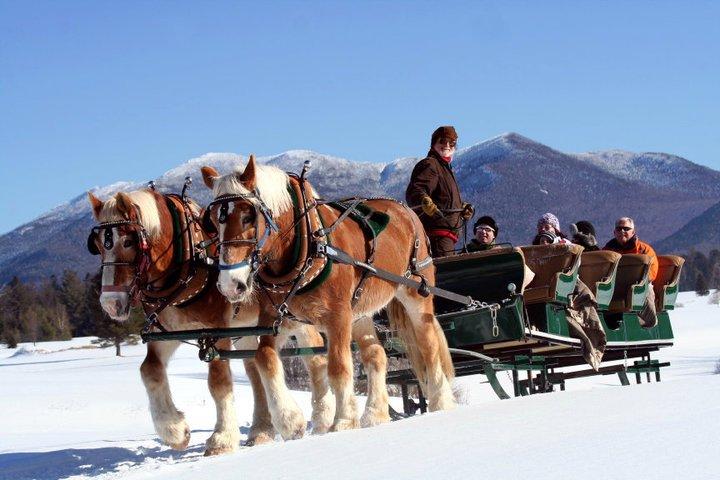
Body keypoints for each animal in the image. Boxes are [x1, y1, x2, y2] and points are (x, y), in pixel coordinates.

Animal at [87, 188, 334, 454]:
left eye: (128, 241)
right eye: (98, 245)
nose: (110, 303)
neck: (187, 265)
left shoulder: (216, 331)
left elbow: (218, 381)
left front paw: (222, 439)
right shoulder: (168, 332)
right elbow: (149, 370)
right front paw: (175, 430)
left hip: (293, 319)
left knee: (315, 356)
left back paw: (321, 417)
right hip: (247, 329)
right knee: (254, 370)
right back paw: (260, 431)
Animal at [200, 157, 452, 432]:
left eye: (248, 216)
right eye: (212, 221)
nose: (229, 285)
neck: (308, 245)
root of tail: (407, 211)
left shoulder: (338, 317)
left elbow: (339, 367)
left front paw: (343, 421)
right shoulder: (278, 320)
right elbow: (264, 357)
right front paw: (289, 421)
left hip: (416, 294)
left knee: (429, 345)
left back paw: (441, 400)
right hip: (360, 312)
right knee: (376, 354)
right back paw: (374, 414)